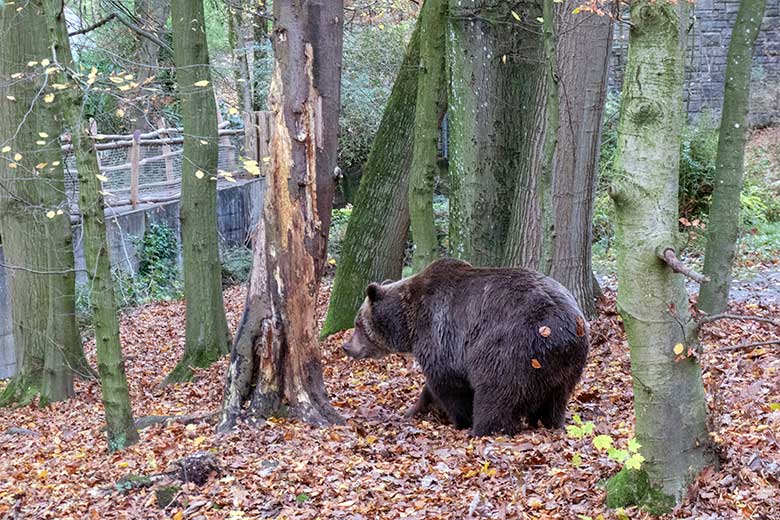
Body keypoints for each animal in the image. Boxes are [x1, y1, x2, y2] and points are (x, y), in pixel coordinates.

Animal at [342, 258, 592, 434]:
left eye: (357, 323)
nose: (346, 346)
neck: (409, 324)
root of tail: (563, 327)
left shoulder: (440, 334)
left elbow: (448, 385)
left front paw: (460, 419)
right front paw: (413, 410)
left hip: (509, 348)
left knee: (496, 393)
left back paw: (483, 428)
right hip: (566, 364)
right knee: (556, 398)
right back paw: (550, 422)